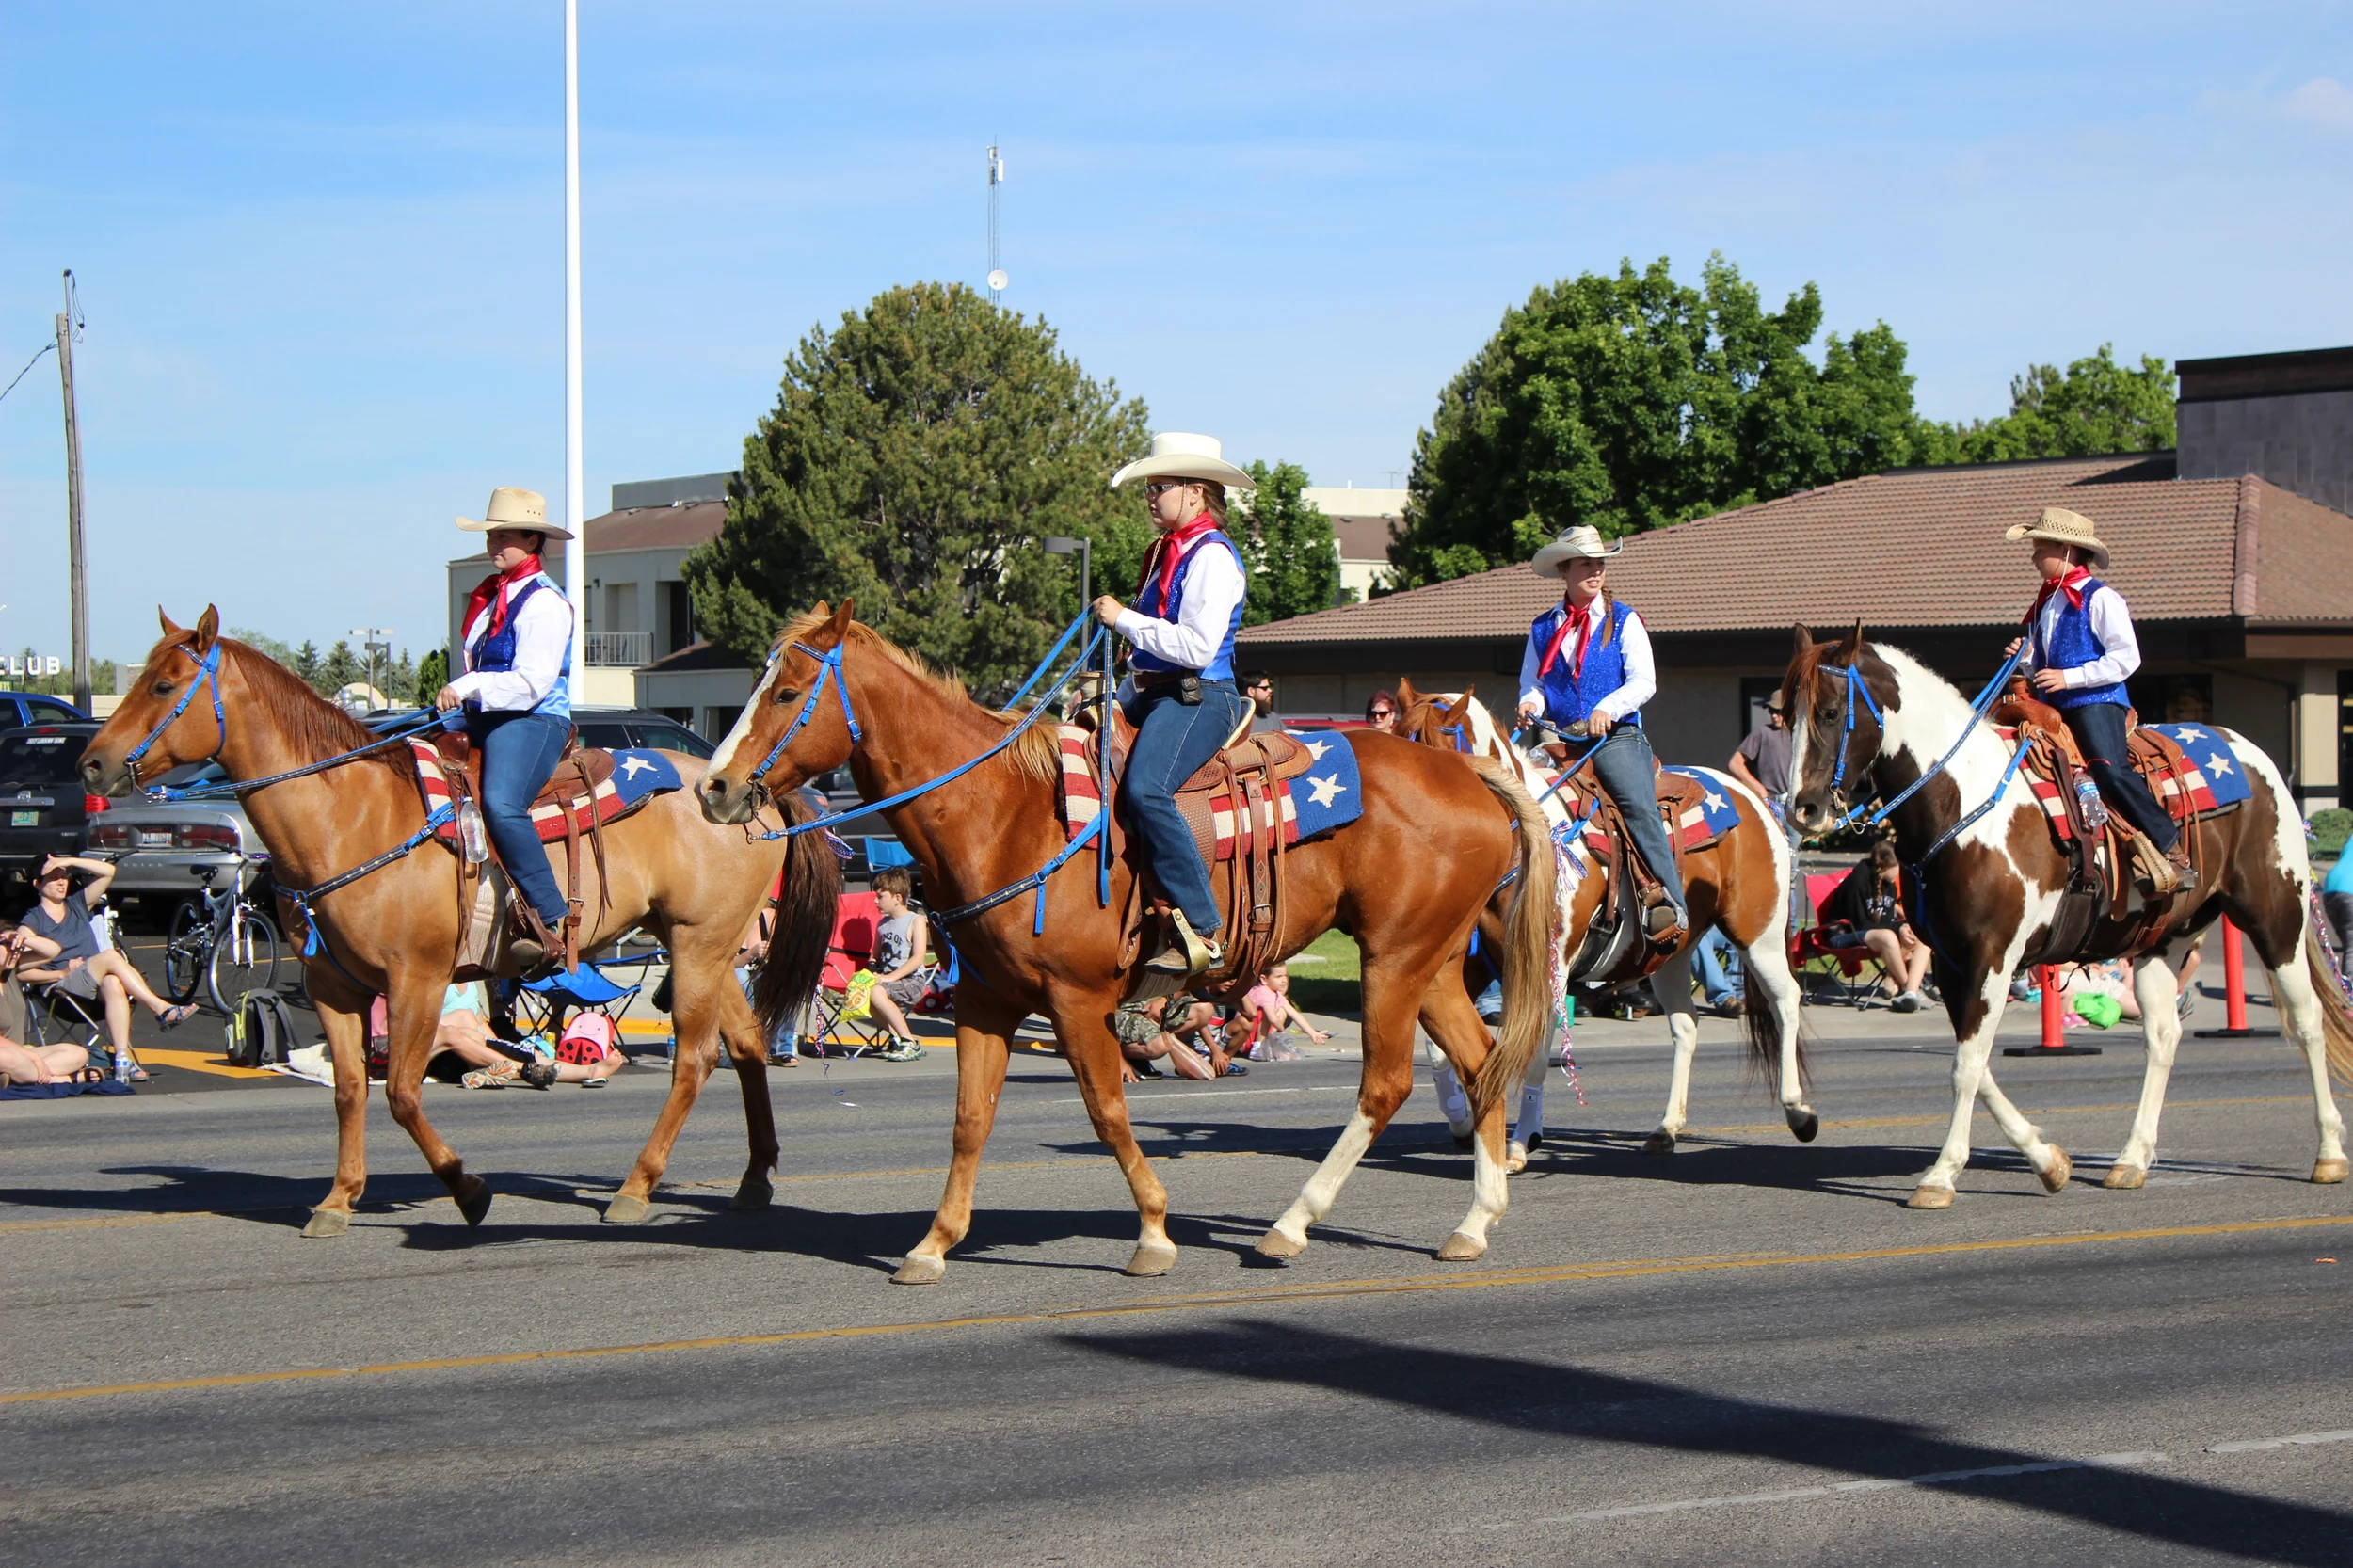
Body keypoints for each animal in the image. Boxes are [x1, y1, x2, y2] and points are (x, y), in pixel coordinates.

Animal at [78, 612, 842, 1233]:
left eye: (163, 685)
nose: (92, 764)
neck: (350, 816)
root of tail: (746, 792)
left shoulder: (416, 978)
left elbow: (402, 1094)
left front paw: (468, 1190)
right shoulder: (333, 986)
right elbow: (352, 1090)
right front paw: (338, 1198)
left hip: (695, 945)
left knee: (696, 1059)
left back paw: (635, 1187)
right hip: (710, 952)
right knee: (746, 1046)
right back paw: (754, 1178)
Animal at [1393, 673, 1817, 1148]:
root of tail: (1758, 800)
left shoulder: (1549, 969)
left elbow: (1534, 1057)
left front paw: (1522, 1141)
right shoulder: (1471, 965)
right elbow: (1437, 1047)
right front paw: (1462, 1122)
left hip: (1759, 935)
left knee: (1786, 1002)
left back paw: (1799, 1111)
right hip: (1672, 952)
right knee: (1686, 1025)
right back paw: (1666, 1129)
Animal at [1779, 621, 2353, 1195]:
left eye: (1830, 711)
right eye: (1784, 714)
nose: (1801, 810)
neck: (1963, 801)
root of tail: (2255, 756)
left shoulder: (1993, 956)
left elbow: (1967, 1067)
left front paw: (1941, 1176)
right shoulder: (1951, 960)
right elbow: (1977, 1065)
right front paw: (2048, 1161)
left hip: (2276, 919)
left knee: (2307, 1020)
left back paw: (2328, 1153)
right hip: (2163, 939)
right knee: (2163, 1035)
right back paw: (2131, 1159)